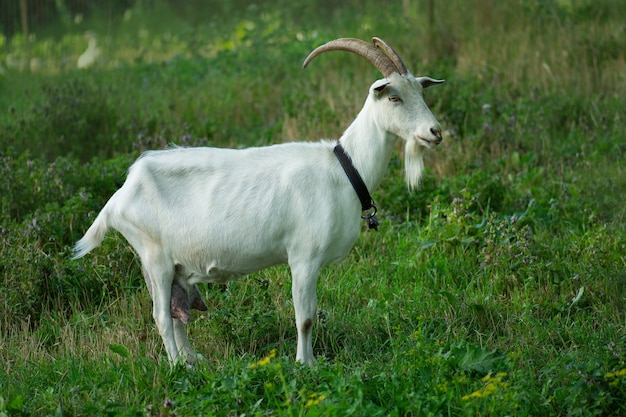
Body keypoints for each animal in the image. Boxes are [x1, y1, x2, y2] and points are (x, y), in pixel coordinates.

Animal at [72, 36, 444, 364]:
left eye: (420, 92)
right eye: (394, 97)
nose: (435, 132)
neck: (344, 168)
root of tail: (122, 192)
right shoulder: (303, 257)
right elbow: (305, 317)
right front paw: (305, 365)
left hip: (171, 265)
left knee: (177, 316)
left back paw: (194, 361)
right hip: (154, 256)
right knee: (162, 316)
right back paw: (178, 367)